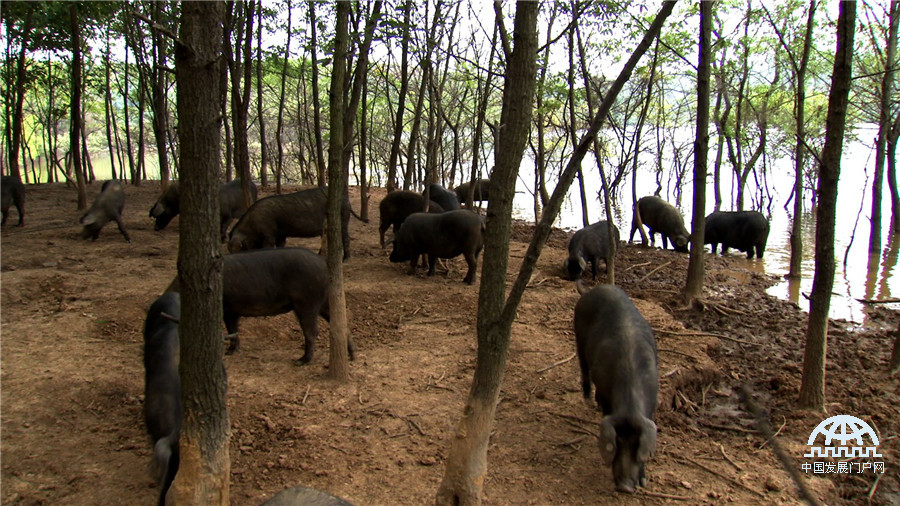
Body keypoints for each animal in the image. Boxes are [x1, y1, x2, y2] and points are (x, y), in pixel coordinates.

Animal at [576, 284, 660, 494]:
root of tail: (592, 290)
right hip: (578, 335)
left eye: (637, 445)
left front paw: (644, 482)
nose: (625, 487)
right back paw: (587, 397)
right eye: (617, 443)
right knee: (583, 366)